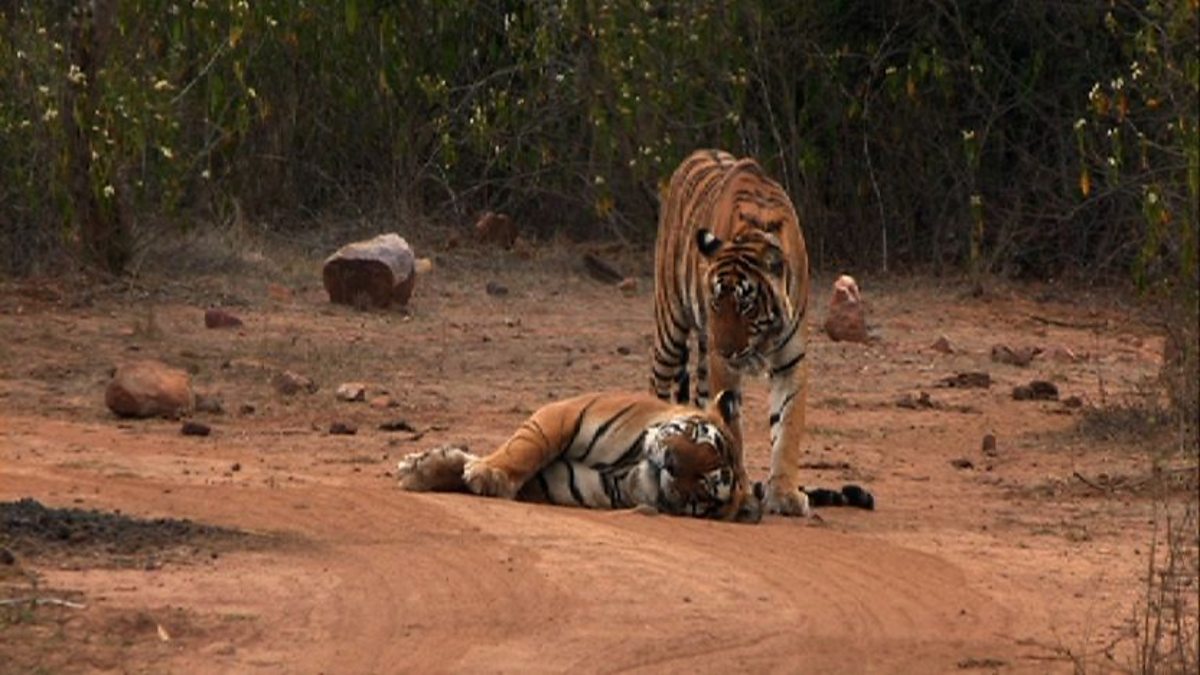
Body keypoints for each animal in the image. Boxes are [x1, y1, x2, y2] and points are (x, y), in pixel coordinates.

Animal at [398, 386, 763, 523]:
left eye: (706, 487)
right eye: (700, 435)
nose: (671, 463)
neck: (628, 468)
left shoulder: (557, 481)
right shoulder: (563, 413)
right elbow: (522, 449)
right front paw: (482, 473)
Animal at [652, 148, 811, 514]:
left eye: (746, 306)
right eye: (715, 303)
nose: (724, 349)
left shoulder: (791, 360)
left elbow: (788, 427)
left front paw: (784, 493)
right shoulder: (722, 366)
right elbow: (733, 430)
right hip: (670, 326)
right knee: (657, 382)